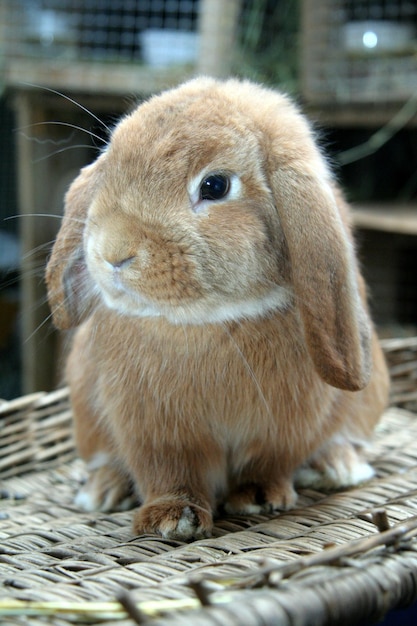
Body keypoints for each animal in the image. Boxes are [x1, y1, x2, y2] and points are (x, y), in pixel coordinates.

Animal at [46, 77, 390, 536]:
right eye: (110, 168)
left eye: (215, 186)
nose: (113, 252)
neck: (208, 321)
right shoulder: (155, 432)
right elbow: (169, 473)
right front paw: (170, 519)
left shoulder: (284, 428)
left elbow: (268, 462)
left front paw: (259, 498)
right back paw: (103, 491)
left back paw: (338, 467)